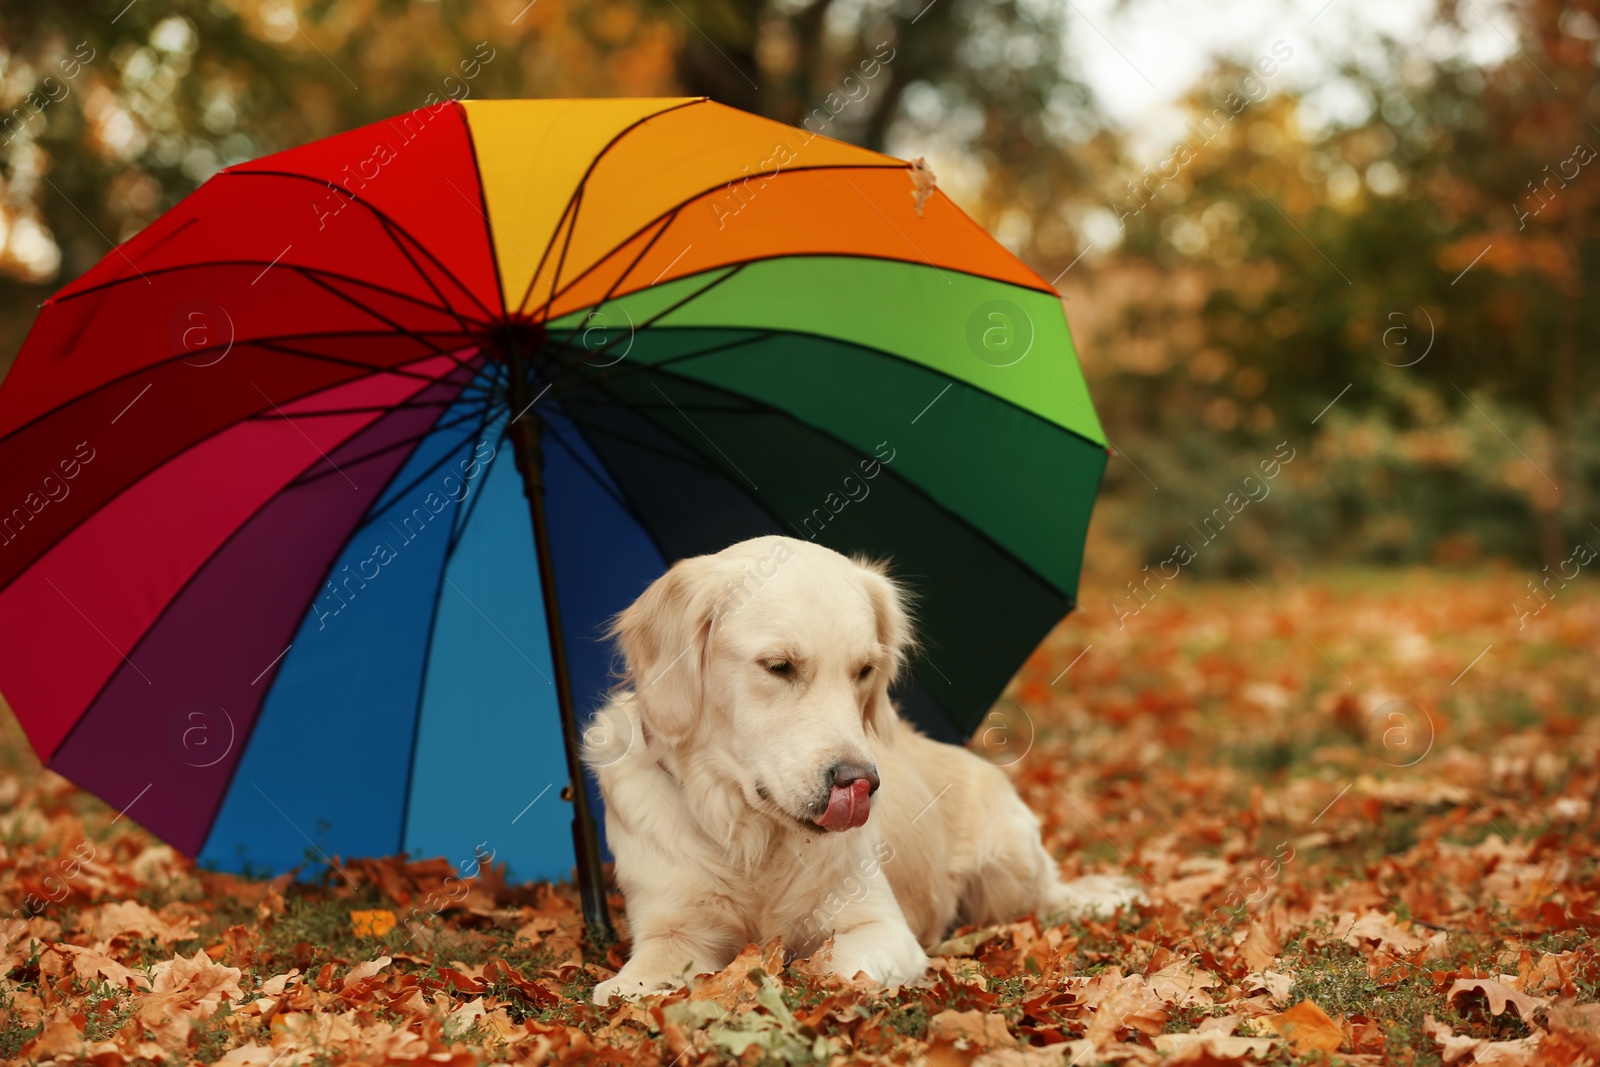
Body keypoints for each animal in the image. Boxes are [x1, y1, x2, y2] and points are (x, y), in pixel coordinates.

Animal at [588, 537, 1139, 1004]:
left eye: (864, 672)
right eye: (778, 666)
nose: (861, 784)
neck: (753, 839)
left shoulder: (878, 925)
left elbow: (831, 964)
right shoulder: (673, 926)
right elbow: (633, 981)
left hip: (1009, 871)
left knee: (1050, 896)